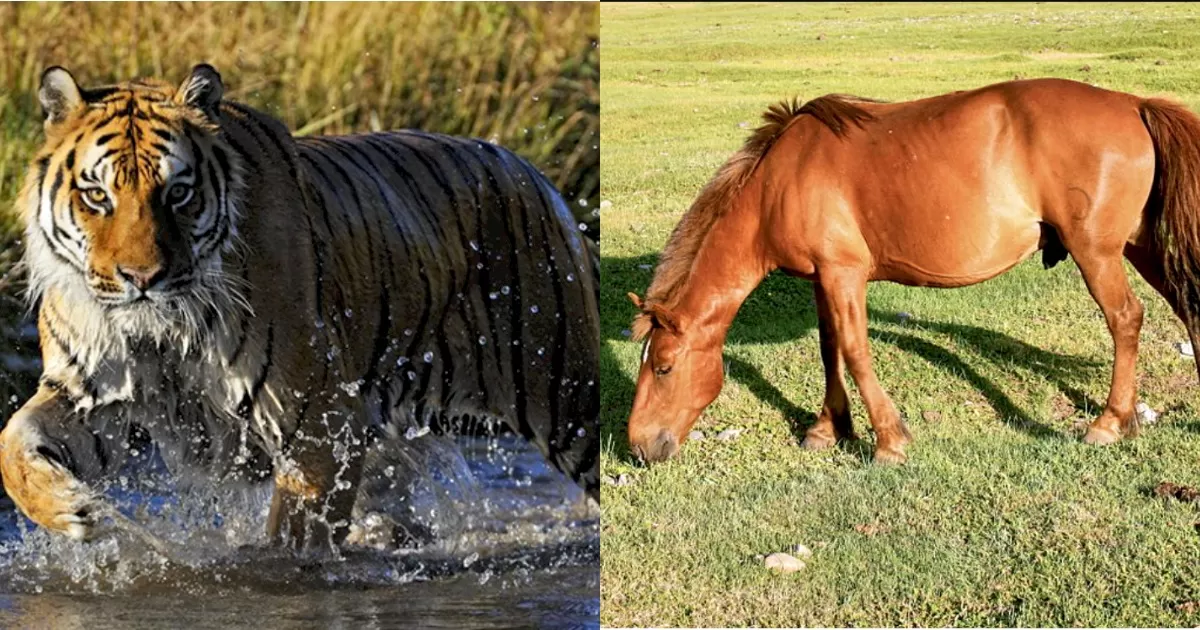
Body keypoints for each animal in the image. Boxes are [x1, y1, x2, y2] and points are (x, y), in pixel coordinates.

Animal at [0, 61, 600, 547]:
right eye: (97, 195)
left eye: (179, 193)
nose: (142, 278)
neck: (163, 329)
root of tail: (533, 172)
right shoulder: (93, 393)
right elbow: (13, 439)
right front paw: (71, 508)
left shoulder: (318, 418)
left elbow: (294, 539)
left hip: (564, 389)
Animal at [624, 77, 1200, 460]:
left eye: (664, 367)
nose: (639, 446)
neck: (778, 183)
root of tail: (1133, 103)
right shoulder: (822, 279)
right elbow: (830, 349)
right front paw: (828, 428)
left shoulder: (843, 274)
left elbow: (855, 351)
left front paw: (888, 440)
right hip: (1140, 246)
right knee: (1187, 306)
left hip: (1096, 252)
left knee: (1125, 319)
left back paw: (1109, 422)